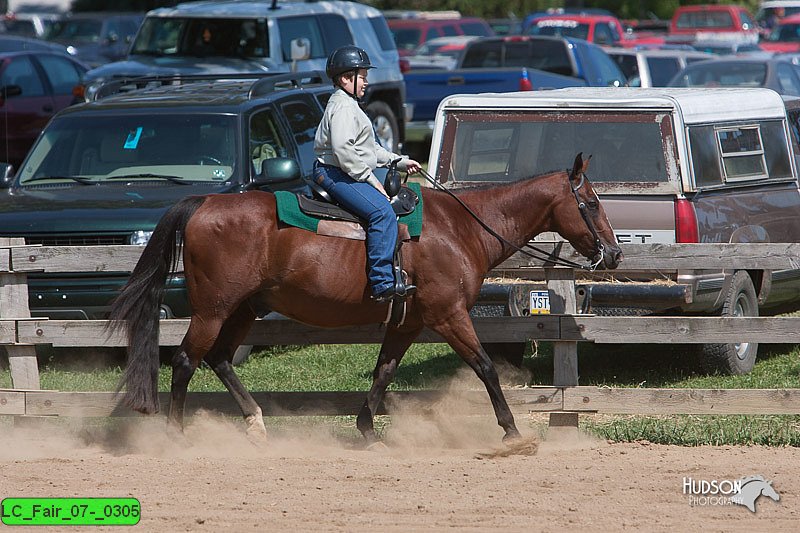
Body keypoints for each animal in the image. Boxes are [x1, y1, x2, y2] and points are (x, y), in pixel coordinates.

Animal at [108, 153, 620, 444]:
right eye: (592, 203)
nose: (613, 254)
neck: (461, 229)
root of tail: (204, 204)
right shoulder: (449, 315)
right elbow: (486, 367)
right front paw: (512, 431)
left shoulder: (408, 322)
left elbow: (384, 371)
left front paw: (367, 430)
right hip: (213, 308)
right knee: (186, 361)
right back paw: (176, 434)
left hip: (244, 308)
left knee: (218, 359)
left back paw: (255, 422)